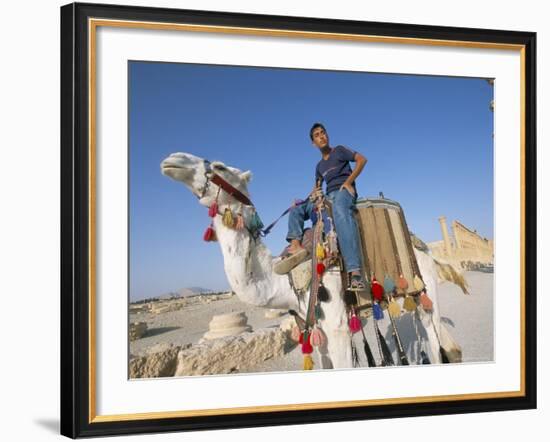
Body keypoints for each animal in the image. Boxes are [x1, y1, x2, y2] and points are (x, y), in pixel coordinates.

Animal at [161, 152, 466, 370]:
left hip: (425, 288)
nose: (172, 159)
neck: (285, 281)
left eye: (221, 167)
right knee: (442, 344)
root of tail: (424, 248)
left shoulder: (338, 327)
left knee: (434, 340)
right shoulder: (316, 331)